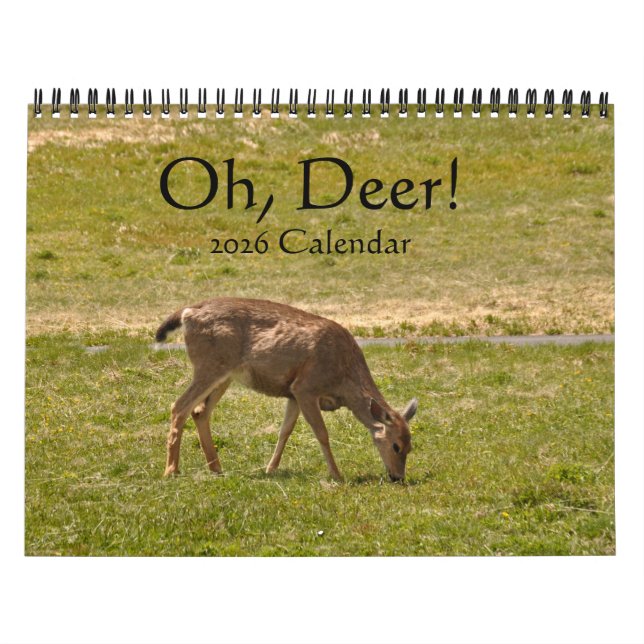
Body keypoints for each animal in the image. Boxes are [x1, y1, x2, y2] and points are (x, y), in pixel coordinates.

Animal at [156, 297, 418, 482]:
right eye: (396, 446)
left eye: (410, 446)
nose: (397, 477)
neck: (343, 378)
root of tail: (188, 312)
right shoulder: (306, 387)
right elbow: (321, 433)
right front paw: (337, 474)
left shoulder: (292, 393)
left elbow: (285, 431)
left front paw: (270, 468)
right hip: (209, 364)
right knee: (179, 406)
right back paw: (171, 470)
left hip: (225, 374)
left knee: (200, 411)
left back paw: (217, 468)